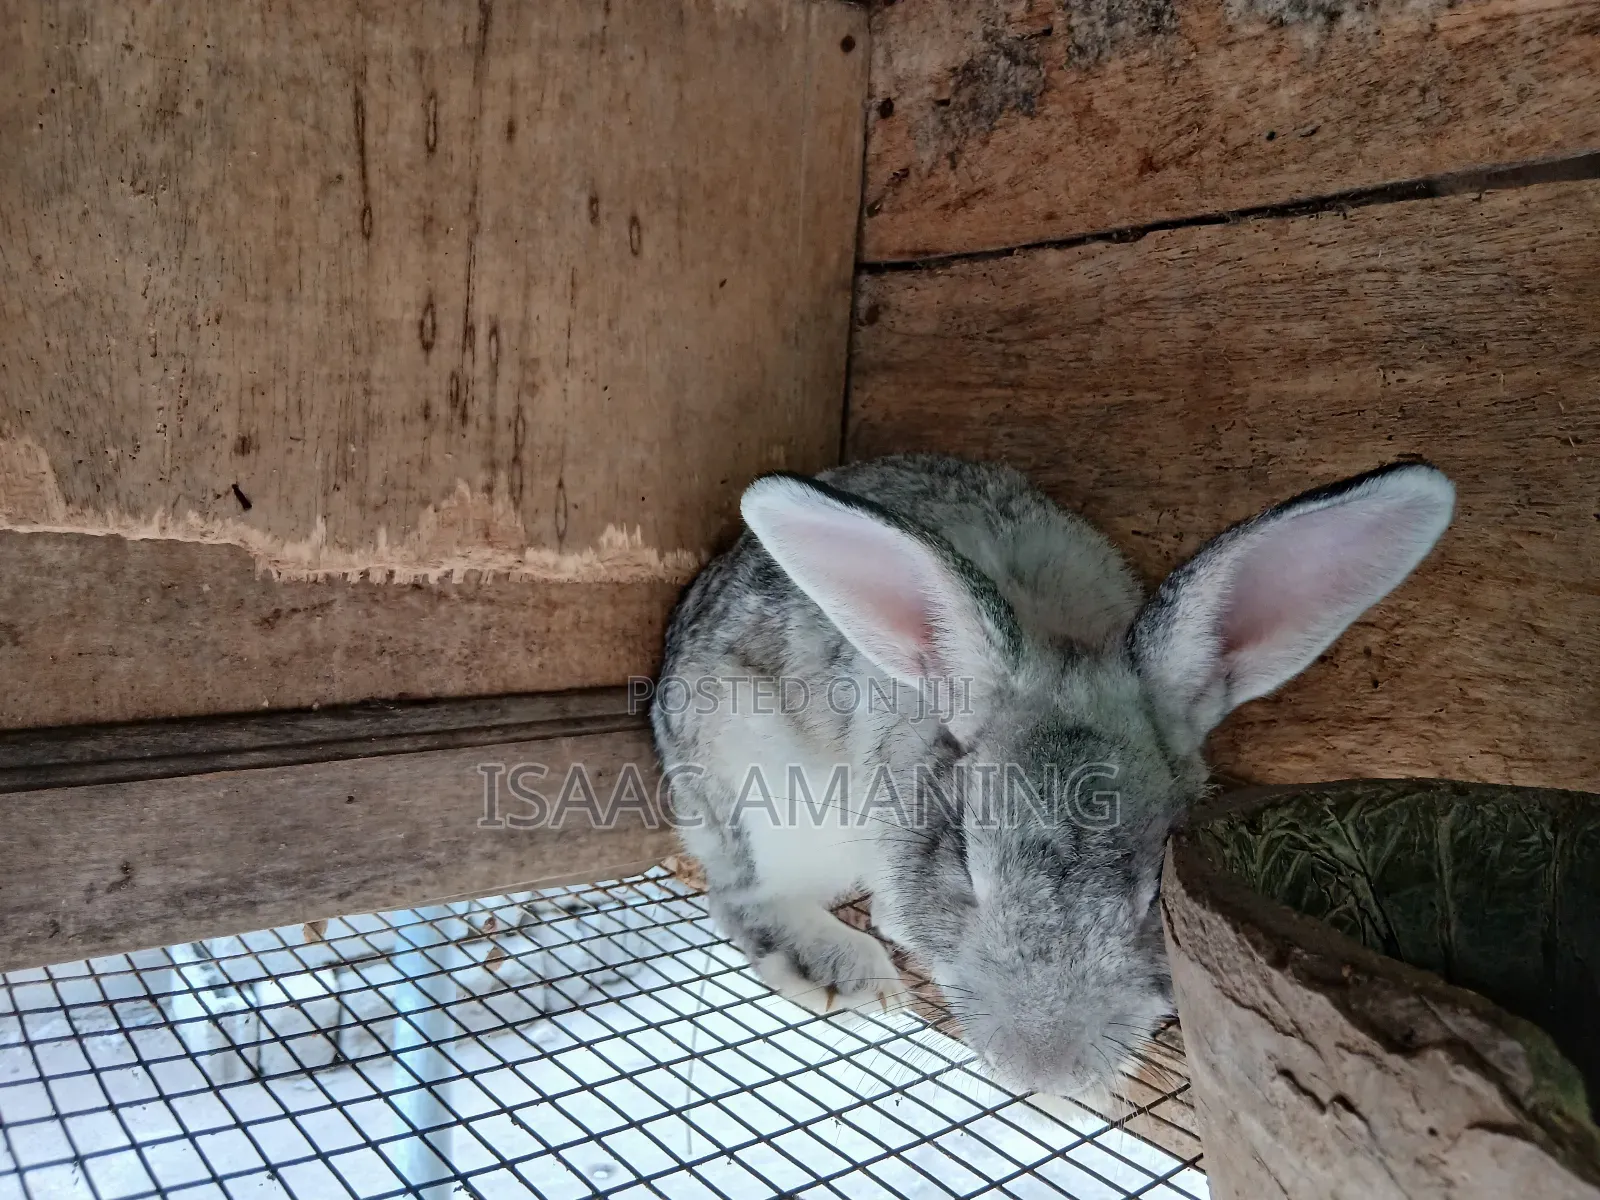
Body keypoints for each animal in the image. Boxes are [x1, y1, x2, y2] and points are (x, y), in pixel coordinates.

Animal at [650, 453, 1454, 1097]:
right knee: (743, 897)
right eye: (964, 863)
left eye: (1155, 892)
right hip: (764, 792)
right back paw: (852, 974)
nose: (1043, 1075)